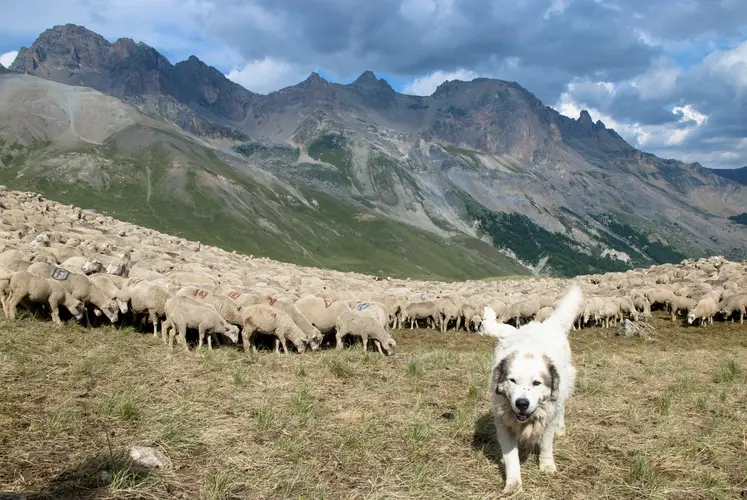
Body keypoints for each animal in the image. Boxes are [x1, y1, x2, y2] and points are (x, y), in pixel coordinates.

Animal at [482, 286, 580, 496]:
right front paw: (513, 484)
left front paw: (547, 466)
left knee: (561, 408)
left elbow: (546, 445)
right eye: (512, 381)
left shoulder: (547, 419)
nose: (521, 403)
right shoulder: (504, 424)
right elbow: (511, 457)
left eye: (537, 383)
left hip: (564, 388)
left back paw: (561, 428)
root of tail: (545, 325)